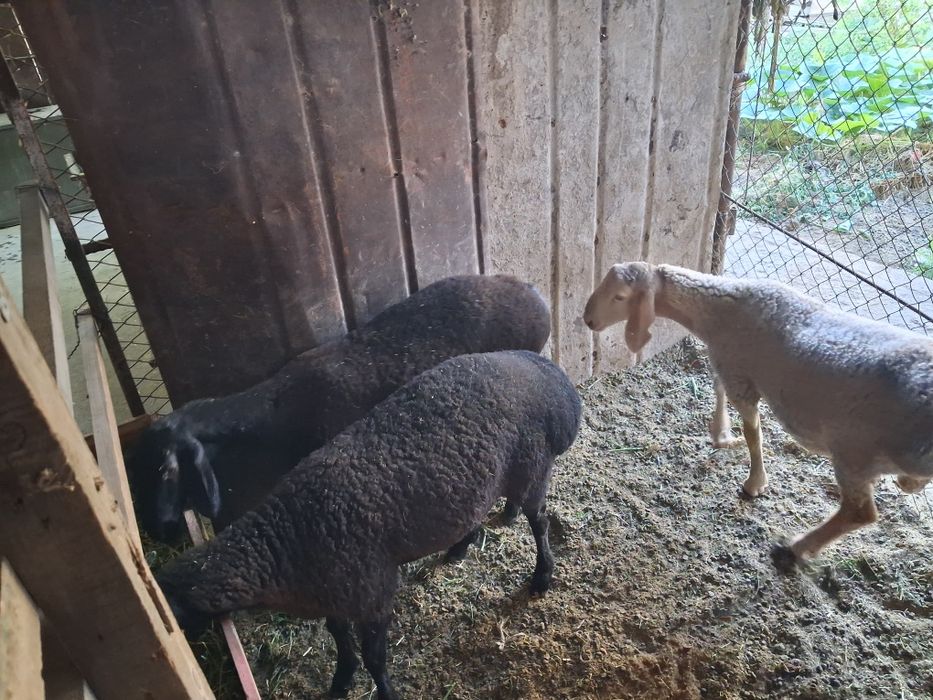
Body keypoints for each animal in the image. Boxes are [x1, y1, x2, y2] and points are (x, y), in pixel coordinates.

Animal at [156, 350, 582, 700]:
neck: (285, 537)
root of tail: (550, 377)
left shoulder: (372, 592)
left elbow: (375, 657)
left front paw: (384, 692)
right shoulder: (333, 593)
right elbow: (340, 638)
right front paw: (341, 681)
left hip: (531, 463)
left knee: (539, 521)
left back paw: (542, 575)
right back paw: (464, 545)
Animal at [583, 261, 933, 565]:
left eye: (619, 297)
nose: (588, 320)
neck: (717, 309)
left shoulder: (739, 374)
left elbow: (752, 432)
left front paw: (753, 481)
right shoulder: (730, 367)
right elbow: (718, 389)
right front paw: (721, 435)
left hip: (854, 453)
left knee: (859, 512)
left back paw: (796, 548)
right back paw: (908, 483)